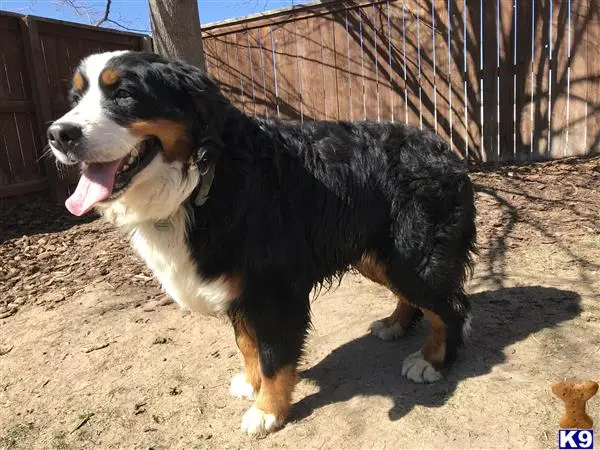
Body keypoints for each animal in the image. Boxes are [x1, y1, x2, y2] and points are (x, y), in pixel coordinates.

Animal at [47, 50, 476, 436]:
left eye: (123, 94)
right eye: (76, 99)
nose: (58, 134)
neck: (204, 177)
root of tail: (443, 148)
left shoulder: (272, 289)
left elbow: (273, 355)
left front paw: (267, 411)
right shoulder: (237, 284)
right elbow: (246, 342)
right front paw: (251, 383)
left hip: (414, 254)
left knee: (451, 307)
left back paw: (432, 361)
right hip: (378, 255)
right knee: (418, 299)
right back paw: (395, 323)